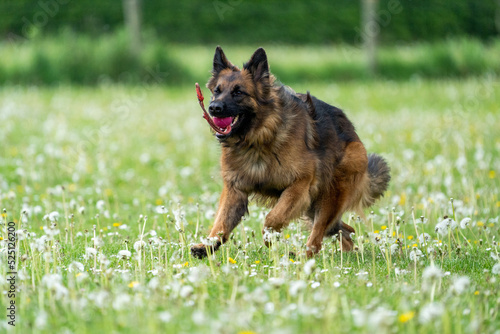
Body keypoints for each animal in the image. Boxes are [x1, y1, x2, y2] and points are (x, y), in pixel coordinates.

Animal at [189, 46, 388, 258]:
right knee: (345, 230)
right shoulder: (235, 189)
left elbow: (271, 219)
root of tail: (353, 134)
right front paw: (207, 246)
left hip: (329, 198)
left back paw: (303, 256)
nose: (214, 108)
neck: (258, 139)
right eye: (216, 91)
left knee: (318, 236)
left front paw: (270, 239)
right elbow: (221, 223)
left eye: (238, 92)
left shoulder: (299, 186)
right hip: (314, 206)